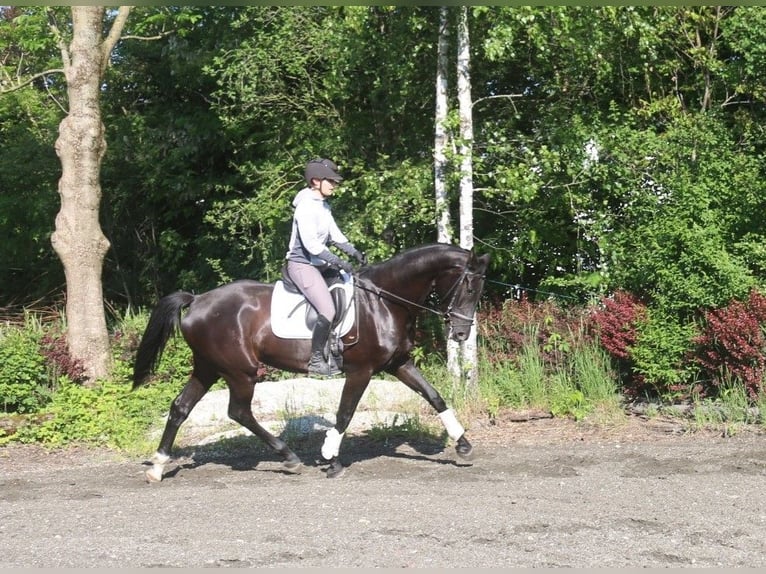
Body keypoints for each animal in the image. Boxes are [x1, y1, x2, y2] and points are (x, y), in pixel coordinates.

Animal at [132, 242, 492, 482]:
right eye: (468, 287)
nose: (461, 334)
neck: (384, 301)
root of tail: (196, 300)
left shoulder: (399, 364)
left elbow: (434, 396)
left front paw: (463, 445)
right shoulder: (362, 371)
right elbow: (345, 413)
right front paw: (331, 459)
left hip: (207, 368)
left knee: (181, 407)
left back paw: (159, 466)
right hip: (240, 371)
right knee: (239, 411)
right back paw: (289, 457)